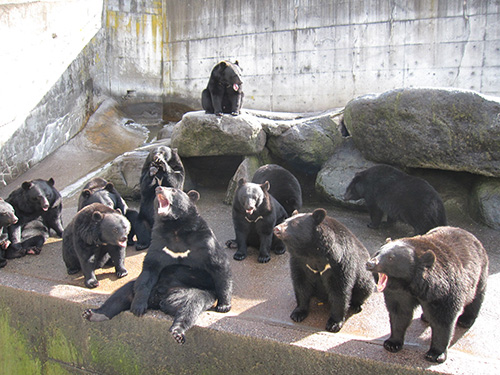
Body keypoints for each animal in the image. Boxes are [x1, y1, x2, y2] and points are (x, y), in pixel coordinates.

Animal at [83, 262, 218, 346]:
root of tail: (157, 299)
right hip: (149, 290)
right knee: (126, 293)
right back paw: (97, 314)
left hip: (197, 293)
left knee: (191, 305)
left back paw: (177, 328)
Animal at [128, 185, 231, 320]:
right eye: (157, 193)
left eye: (173, 190)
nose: (158, 188)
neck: (175, 227)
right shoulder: (158, 243)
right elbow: (148, 270)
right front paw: (138, 307)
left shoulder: (204, 241)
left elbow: (219, 265)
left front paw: (224, 306)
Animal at [368, 228, 488, 362]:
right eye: (378, 253)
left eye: (390, 258)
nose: (370, 263)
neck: (411, 284)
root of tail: (469, 234)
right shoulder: (399, 293)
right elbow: (399, 313)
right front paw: (392, 343)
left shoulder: (444, 292)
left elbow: (443, 319)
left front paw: (435, 354)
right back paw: (425, 317)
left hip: (479, 272)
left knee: (477, 296)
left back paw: (466, 320)